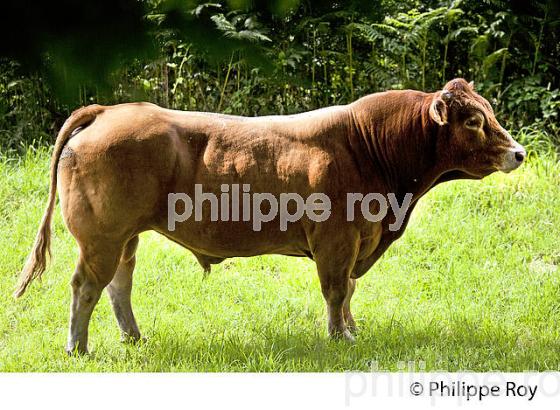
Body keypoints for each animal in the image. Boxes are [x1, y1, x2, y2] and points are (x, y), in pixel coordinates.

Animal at [15, 78, 528, 354]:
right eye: (474, 121)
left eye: (488, 113)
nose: (519, 153)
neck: (368, 147)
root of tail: (111, 110)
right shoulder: (337, 241)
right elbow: (336, 290)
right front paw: (339, 339)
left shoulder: (356, 241)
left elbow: (349, 292)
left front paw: (353, 331)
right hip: (101, 236)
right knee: (86, 286)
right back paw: (78, 348)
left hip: (125, 237)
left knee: (118, 286)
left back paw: (133, 338)